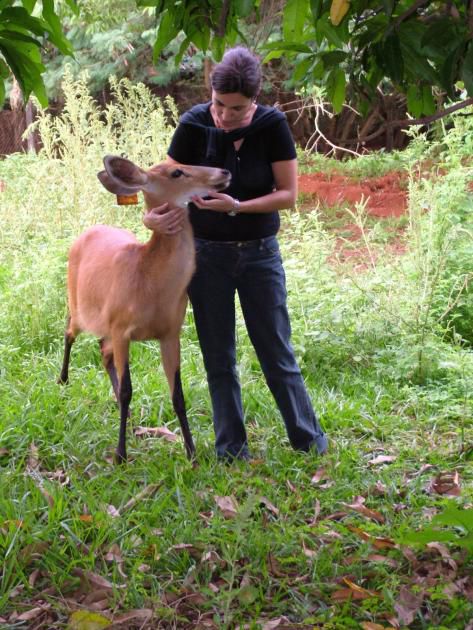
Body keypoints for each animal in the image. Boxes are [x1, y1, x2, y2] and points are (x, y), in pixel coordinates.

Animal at [58, 157, 231, 464]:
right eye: (177, 171)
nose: (223, 171)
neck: (149, 281)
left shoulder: (171, 332)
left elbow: (178, 395)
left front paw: (192, 453)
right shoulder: (120, 328)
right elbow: (129, 389)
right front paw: (120, 454)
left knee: (102, 352)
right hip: (78, 304)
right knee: (69, 331)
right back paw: (63, 379)